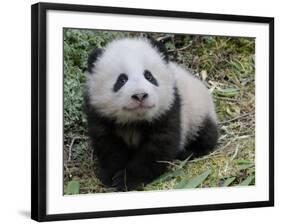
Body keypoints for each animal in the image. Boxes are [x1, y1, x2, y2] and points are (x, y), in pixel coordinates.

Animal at [84, 36, 218, 191]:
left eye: (149, 76)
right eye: (121, 80)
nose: (140, 95)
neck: (135, 120)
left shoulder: (169, 109)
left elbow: (158, 147)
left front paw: (127, 180)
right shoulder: (99, 114)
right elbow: (108, 146)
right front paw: (111, 176)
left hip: (197, 111)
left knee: (205, 134)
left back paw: (188, 151)